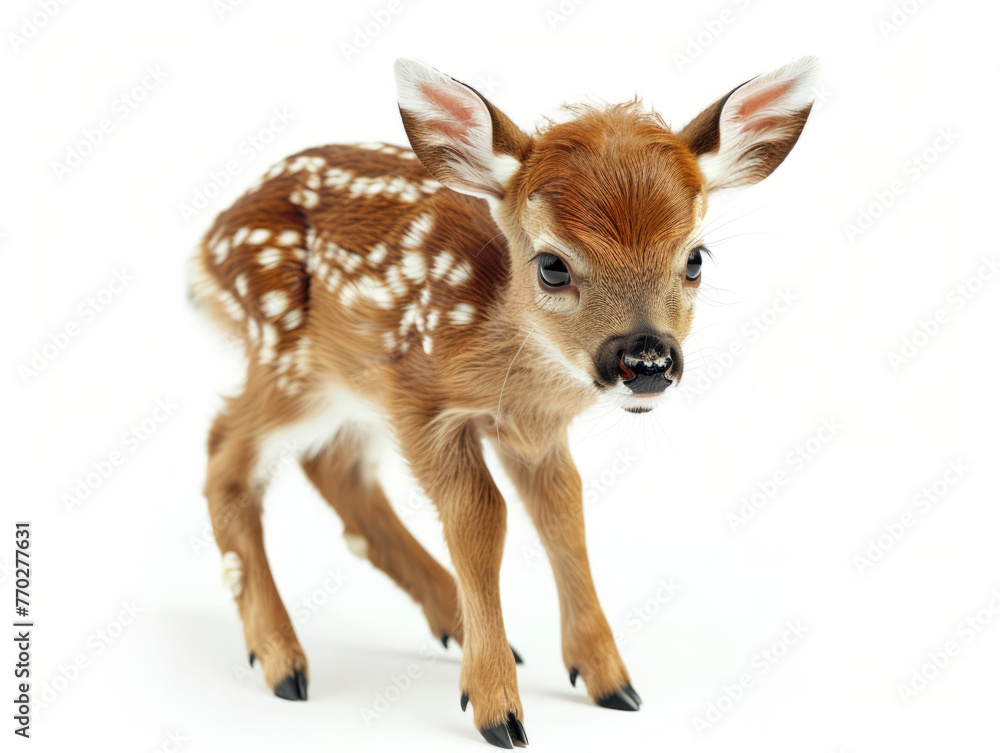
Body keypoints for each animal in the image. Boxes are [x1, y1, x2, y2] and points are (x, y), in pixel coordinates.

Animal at [190, 55, 820, 748]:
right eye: (552, 265)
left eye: (696, 259)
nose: (647, 363)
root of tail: (207, 245)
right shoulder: (419, 402)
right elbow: (481, 519)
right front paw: (498, 710)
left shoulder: (534, 429)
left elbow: (563, 515)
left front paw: (610, 681)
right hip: (286, 359)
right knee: (225, 450)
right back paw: (283, 661)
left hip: (343, 386)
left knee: (332, 467)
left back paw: (451, 626)